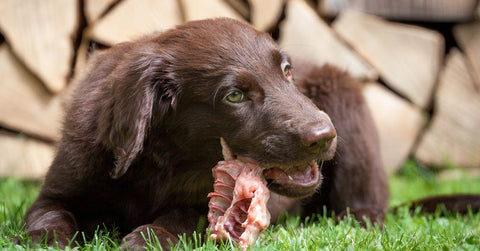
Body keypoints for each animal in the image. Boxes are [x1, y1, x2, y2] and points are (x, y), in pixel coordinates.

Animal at [24, 18, 388, 249]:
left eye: (287, 72)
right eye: (235, 96)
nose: (324, 135)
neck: (162, 162)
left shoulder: (202, 206)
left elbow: (181, 216)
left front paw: (148, 239)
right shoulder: (60, 188)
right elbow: (49, 213)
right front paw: (45, 241)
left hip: (343, 94)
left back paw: (361, 219)